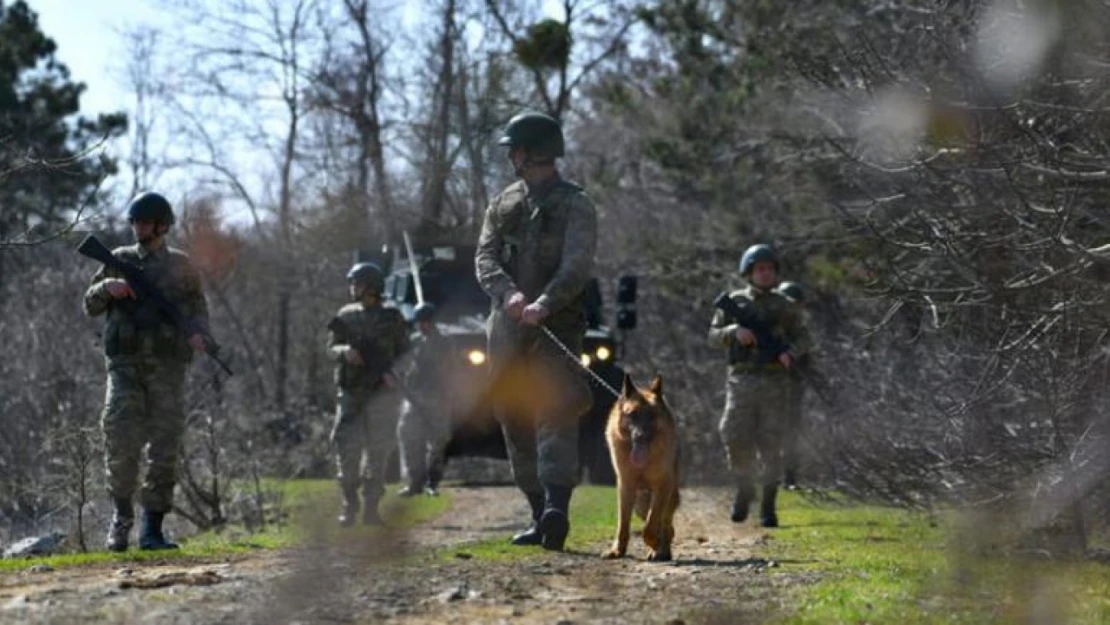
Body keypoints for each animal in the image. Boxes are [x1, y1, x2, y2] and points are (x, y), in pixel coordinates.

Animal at [603, 370, 679, 561]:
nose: (640, 436)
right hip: (640, 504)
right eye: (632, 414)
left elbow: (651, 525)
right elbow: (623, 524)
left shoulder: (662, 486)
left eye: (651, 416)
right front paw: (618, 550)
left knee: (666, 525)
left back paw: (661, 550)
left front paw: (654, 543)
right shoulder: (626, 487)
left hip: (668, 497)